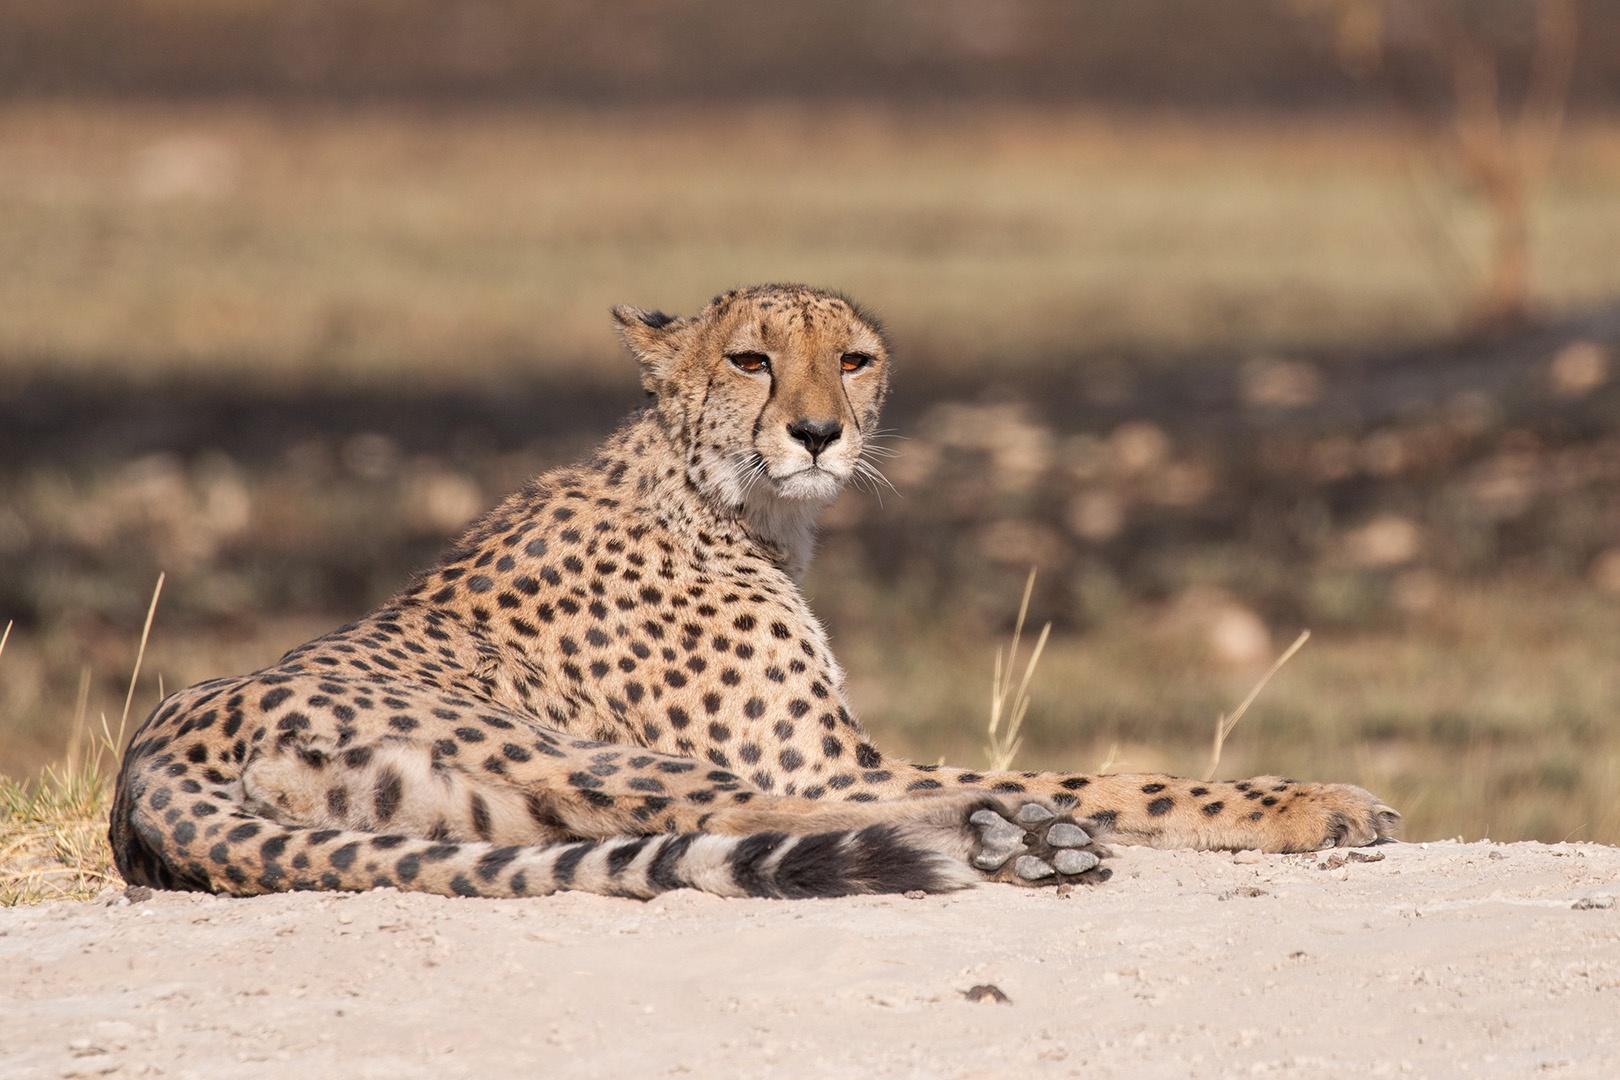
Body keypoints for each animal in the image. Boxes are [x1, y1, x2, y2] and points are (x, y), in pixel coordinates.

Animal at [114, 283, 1399, 900]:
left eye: (854, 359)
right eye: (751, 359)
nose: (819, 432)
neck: (721, 495)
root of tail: (148, 758)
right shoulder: (832, 763)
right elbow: (1109, 775)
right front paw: (1309, 802)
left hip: (464, 812)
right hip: (578, 752)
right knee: (745, 812)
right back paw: (1012, 838)